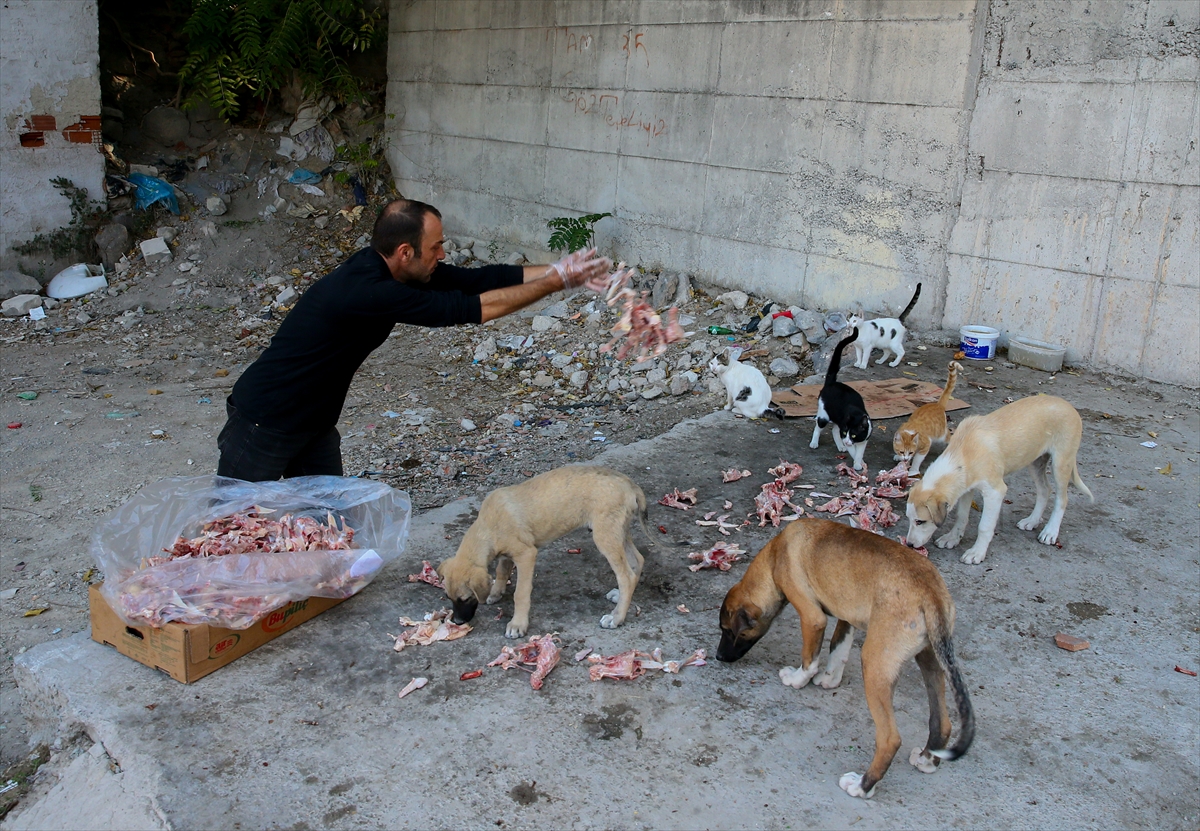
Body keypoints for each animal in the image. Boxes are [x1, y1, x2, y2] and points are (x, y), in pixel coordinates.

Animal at [439, 468, 648, 634]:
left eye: (466, 598)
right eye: (448, 597)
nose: (457, 622)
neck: (488, 527)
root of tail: (631, 485)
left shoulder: (526, 554)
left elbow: (521, 593)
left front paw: (517, 624)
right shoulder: (508, 553)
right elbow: (501, 571)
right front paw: (495, 593)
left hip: (605, 536)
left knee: (626, 576)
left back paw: (617, 617)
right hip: (618, 532)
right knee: (637, 560)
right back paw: (619, 596)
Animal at [715, 518, 969, 797]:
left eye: (728, 631)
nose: (718, 656)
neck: (774, 555)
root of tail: (930, 593)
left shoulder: (812, 616)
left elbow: (810, 658)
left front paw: (797, 679)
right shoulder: (847, 615)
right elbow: (838, 649)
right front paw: (829, 679)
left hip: (875, 665)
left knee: (890, 739)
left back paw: (862, 786)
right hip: (931, 660)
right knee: (941, 722)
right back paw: (926, 760)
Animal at [811, 329, 868, 470]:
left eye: (853, 434)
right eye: (847, 433)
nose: (847, 441)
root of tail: (832, 383)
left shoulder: (863, 439)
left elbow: (859, 452)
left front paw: (859, 462)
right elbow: (853, 451)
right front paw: (857, 462)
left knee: (834, 430)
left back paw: (841, 446)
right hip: (824, 416)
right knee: (818, 427)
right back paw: (814, 443)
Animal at [902, 393, 1094, 564]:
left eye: (920, 521)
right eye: (909, 518)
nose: (909, 544)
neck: (963, 452)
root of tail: (1068, 405)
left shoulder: (995, 492)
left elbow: (984, 526)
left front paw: (976, 553)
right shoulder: (966, 488)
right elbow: (961, 516)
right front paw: (952, 538)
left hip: (1062, 462)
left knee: (1062, 498)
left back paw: (1050, 531)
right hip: (1035, 462)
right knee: (1045, 490)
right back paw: (1032, 521)